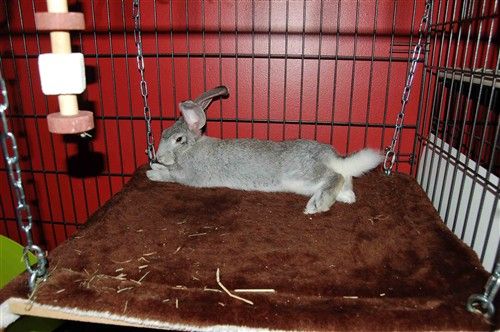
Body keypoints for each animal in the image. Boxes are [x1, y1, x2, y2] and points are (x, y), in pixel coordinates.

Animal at [147, 87, 382, 214]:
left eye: (178, 139)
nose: (158, 156)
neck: (192, 148)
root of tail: (331, 157)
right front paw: (154, 165)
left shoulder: (186, 175)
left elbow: (170, 176)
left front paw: (152, 172)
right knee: (345, 180)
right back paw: (345, 197)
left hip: (304, 174)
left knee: (335, 176)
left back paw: (318, 204)